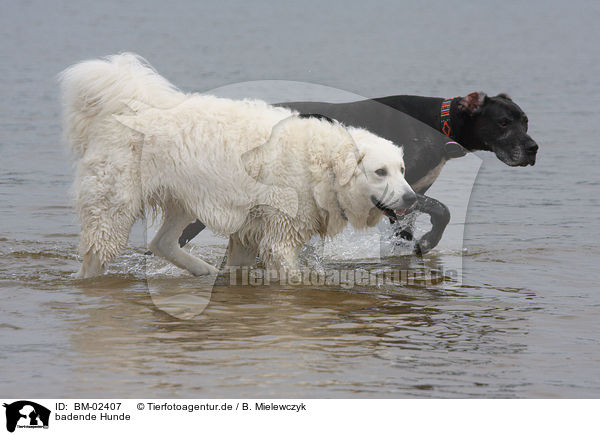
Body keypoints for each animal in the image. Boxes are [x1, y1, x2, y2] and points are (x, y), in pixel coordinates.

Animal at [61, 55, 418, 280]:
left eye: (401, 170)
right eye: (380, 172)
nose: (412, 198)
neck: (321, 164)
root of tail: (123, 110)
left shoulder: (250, 232)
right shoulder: (280, 235)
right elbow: (292, 275)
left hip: (184, 200)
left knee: (160, 243)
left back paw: (202, 270)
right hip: (113, 208)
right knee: (97, 256)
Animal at [176, 93, 536, 255]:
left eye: (525, 120)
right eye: (503, 122)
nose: (533, 148)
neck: (437, 124)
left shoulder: (407, 196)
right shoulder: (393, 194)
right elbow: (443, 211)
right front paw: (429, 241)